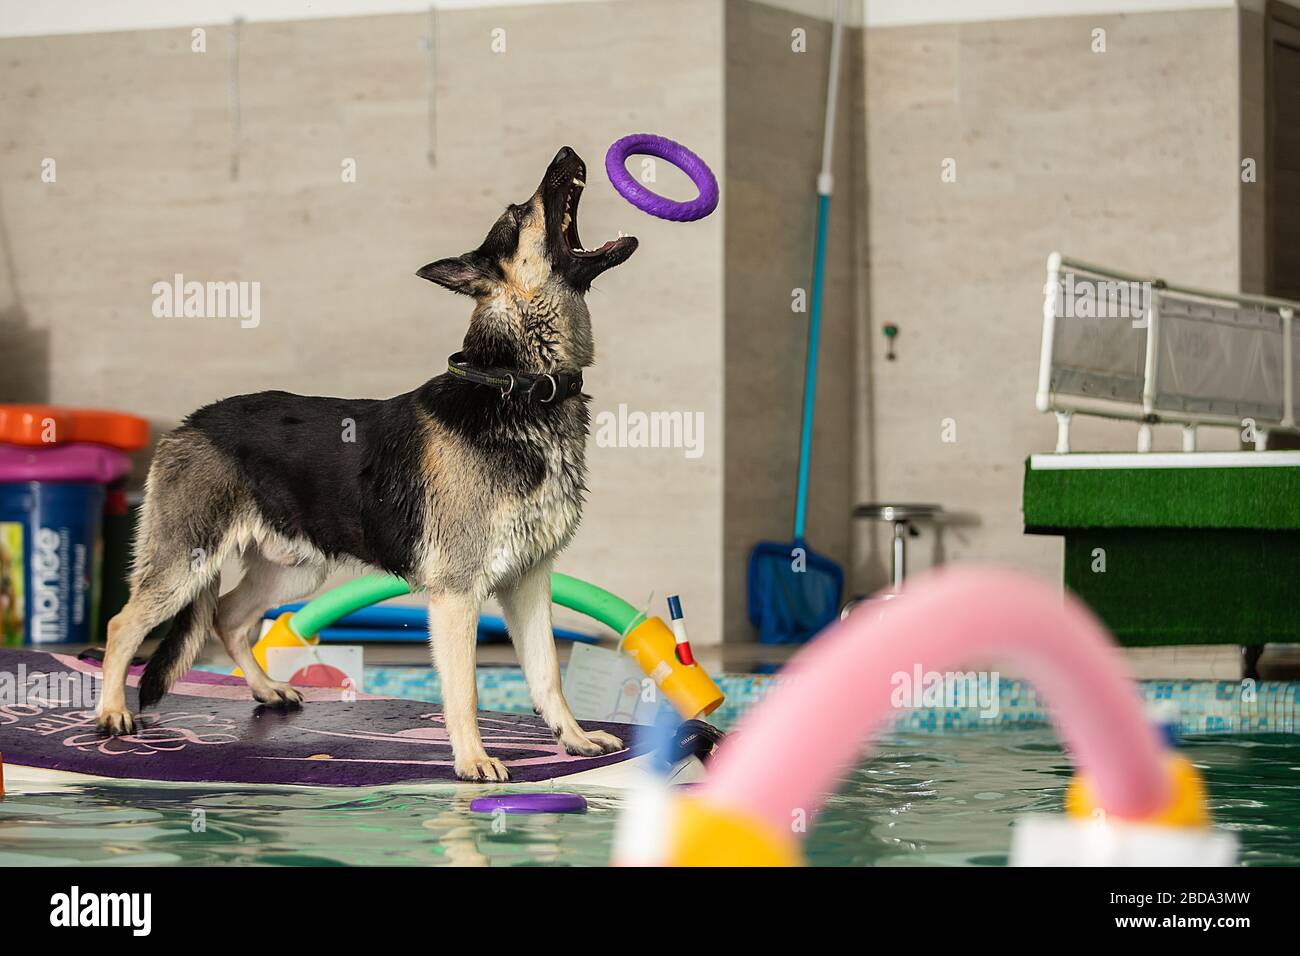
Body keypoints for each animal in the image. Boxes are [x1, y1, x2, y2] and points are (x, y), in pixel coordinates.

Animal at [94, 145, 637, 780]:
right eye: (518, 211)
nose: (568, 153)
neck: (522, 385)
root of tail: (189, 422)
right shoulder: (457, 596)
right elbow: (465, 688)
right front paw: (473, 759)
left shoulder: (529, 583)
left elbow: (548, 672)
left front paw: (572, 738)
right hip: (187, 562)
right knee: (123, 624)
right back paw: (111, 711)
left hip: (295, 570)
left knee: (227, 616)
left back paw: (265, 689)